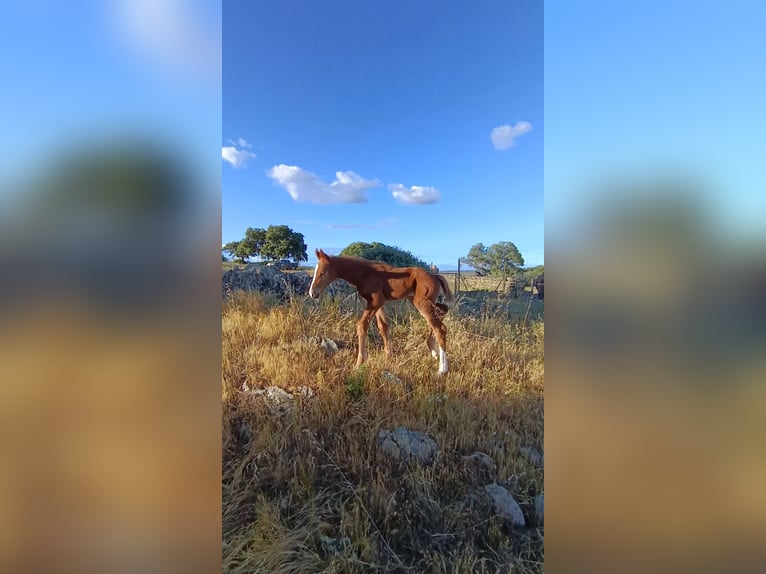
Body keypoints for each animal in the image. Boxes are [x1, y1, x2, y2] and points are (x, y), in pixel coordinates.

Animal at [308, 249, 454, 375]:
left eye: (322, 273)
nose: (312, 293)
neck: (365, 273)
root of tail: (435, 275)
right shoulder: (379, 303)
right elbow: (383, 326)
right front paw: (388, 357)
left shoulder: (375, 302)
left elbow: (361, 326)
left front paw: (359, 363)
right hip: (420, 300)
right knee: (442, 311)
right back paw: (433, 350)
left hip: (422, 303)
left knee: (440, 328)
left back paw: (442, 370)